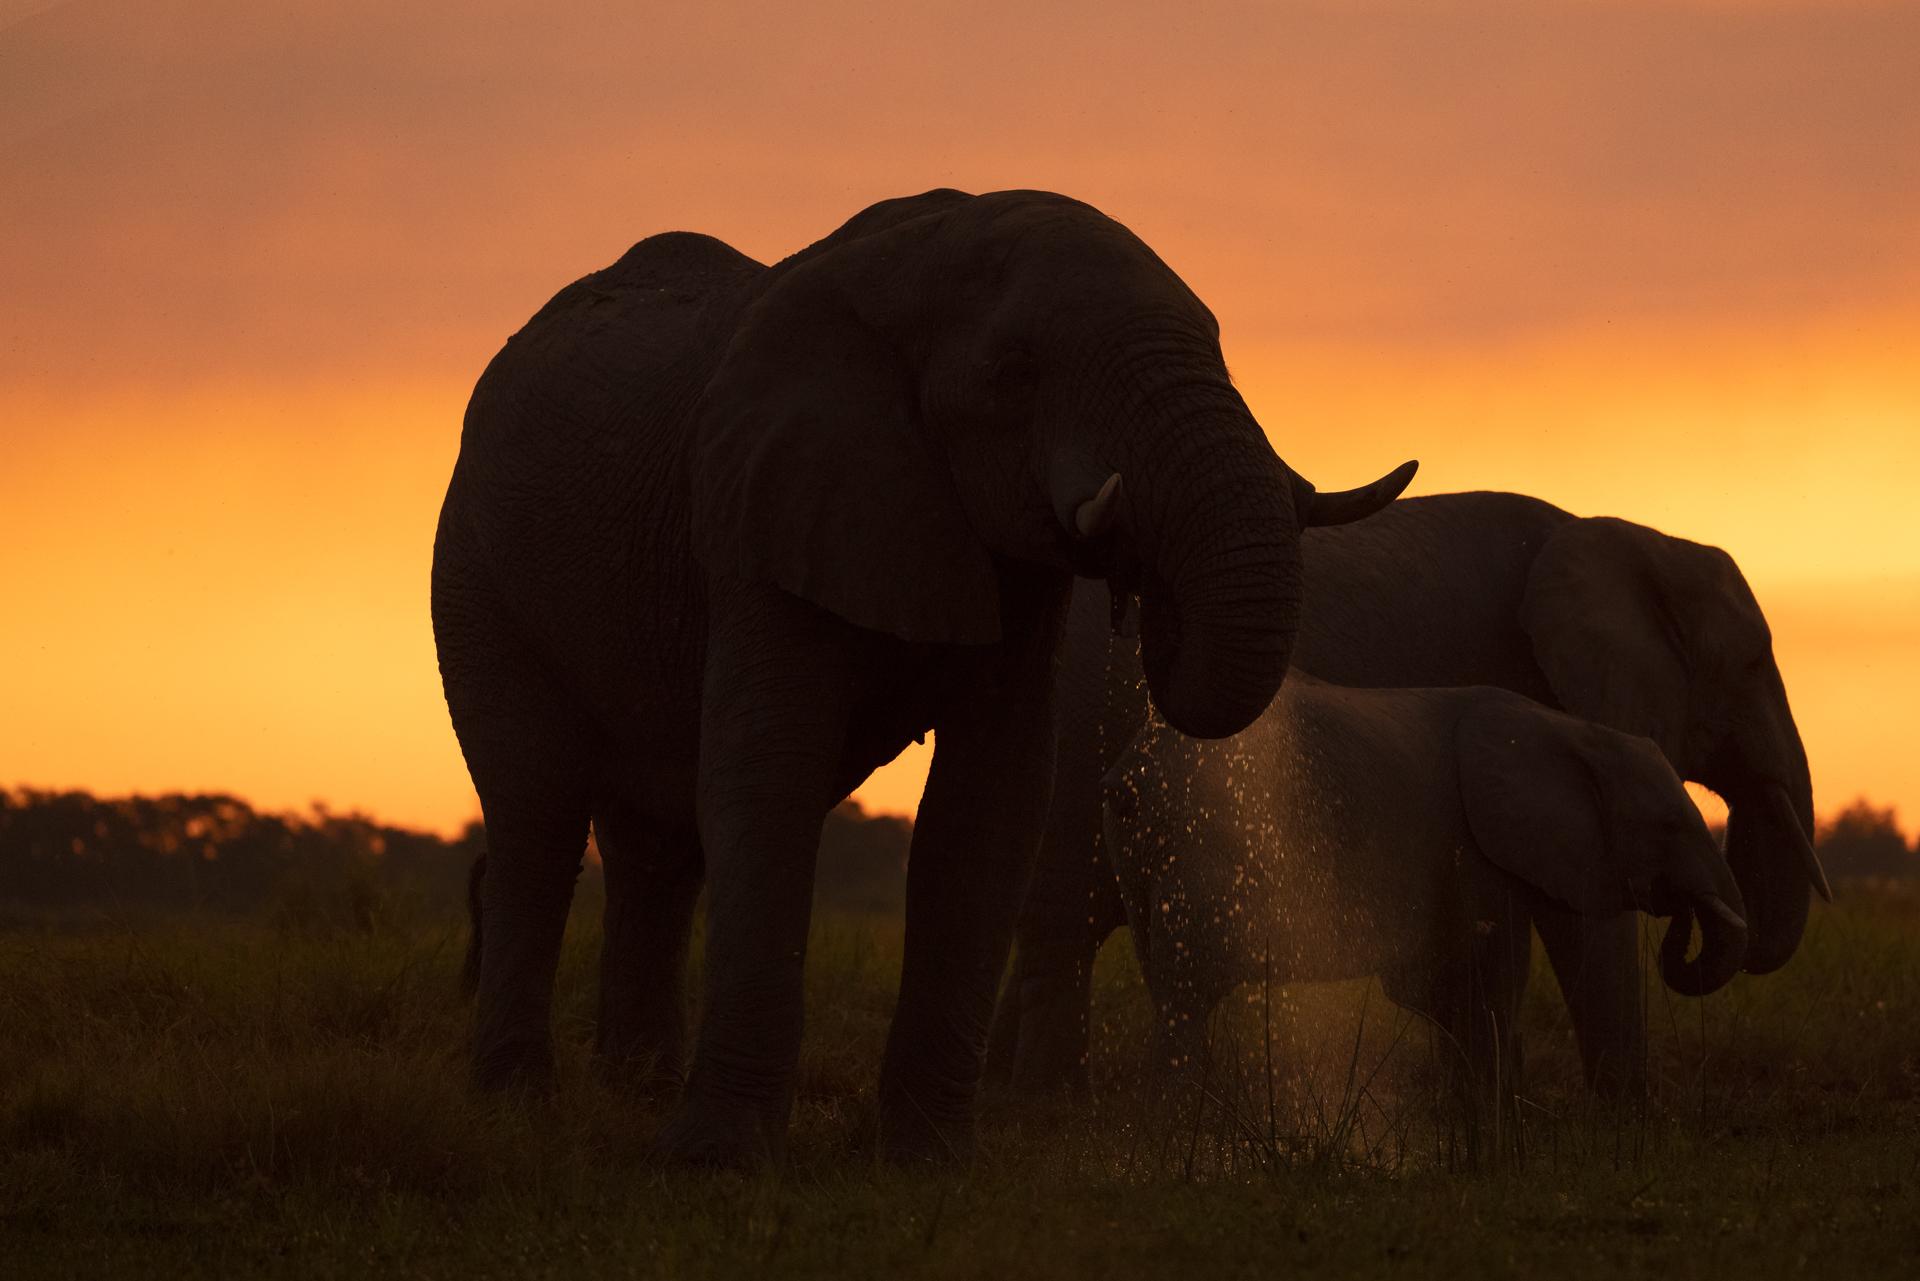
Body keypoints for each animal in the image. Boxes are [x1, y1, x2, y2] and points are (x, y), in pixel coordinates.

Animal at [432, 193, 1413, 1175]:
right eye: (1016, 372)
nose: (1146, 594)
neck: (928, 253)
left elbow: (992, 796)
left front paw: (926, 1161)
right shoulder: (757, 511)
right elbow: (767, 776)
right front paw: (718, 1162)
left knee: (658, 845)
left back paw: (633, 1092)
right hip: (477, 574)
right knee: (538, 818)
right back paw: (520, 1105)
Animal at [1105, 676, 1751, 1090]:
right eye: (1670, 826)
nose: (1682, 907)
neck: (1573, 731)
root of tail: (1134, 772)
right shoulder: (1477, 849)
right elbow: (1492, 976)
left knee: (1171, 988)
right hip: (1205, 841)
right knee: (1187, 998)